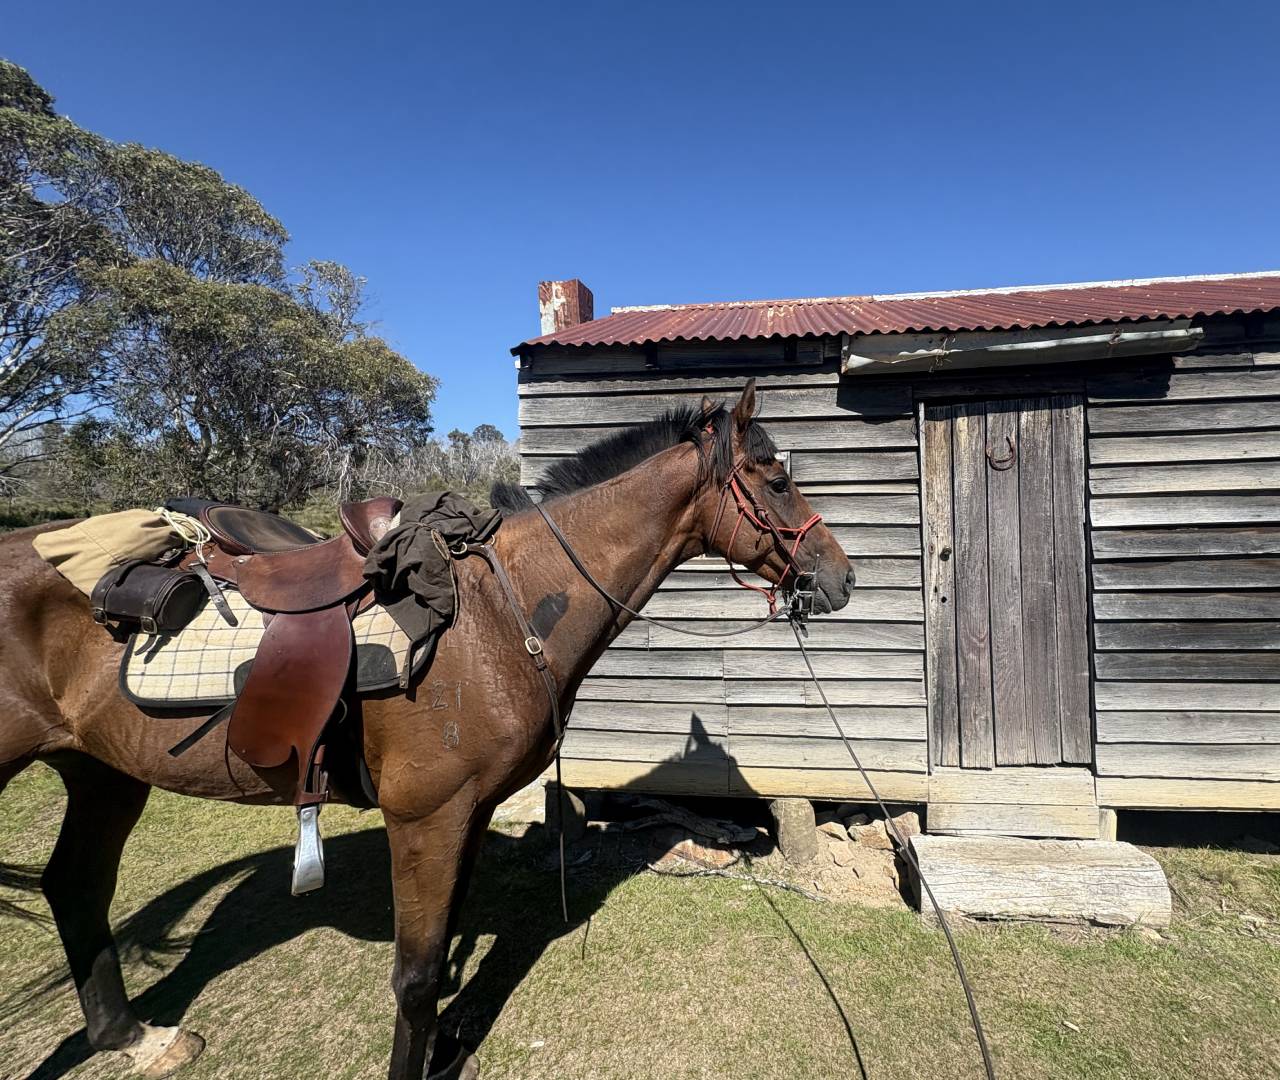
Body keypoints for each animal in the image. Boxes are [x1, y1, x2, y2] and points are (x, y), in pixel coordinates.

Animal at [0, 381, 854, 1079]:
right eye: (778, 479)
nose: (841, 578)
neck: (501, 610)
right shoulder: (427, 819)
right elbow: (414, 976)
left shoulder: (468, 814)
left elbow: (439, 962)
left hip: (103, 772)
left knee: (74, 885)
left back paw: (133, 1038)